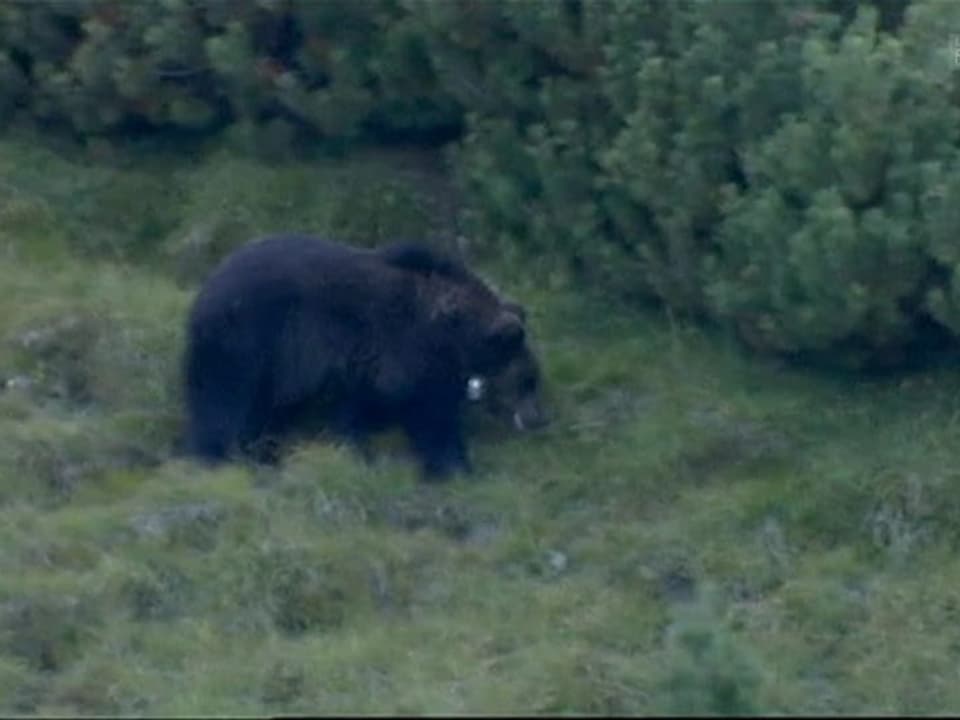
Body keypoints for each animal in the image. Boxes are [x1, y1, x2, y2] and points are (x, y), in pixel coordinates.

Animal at [181, 233, 548, 476]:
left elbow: (356, 410)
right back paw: (213, 453)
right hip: (246, 342)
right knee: (223, 401)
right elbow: (430, 416)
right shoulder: (407, 353)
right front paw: (454, 465)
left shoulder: (365, 366)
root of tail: (206, 289)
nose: (538, 419)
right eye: (528, 381)